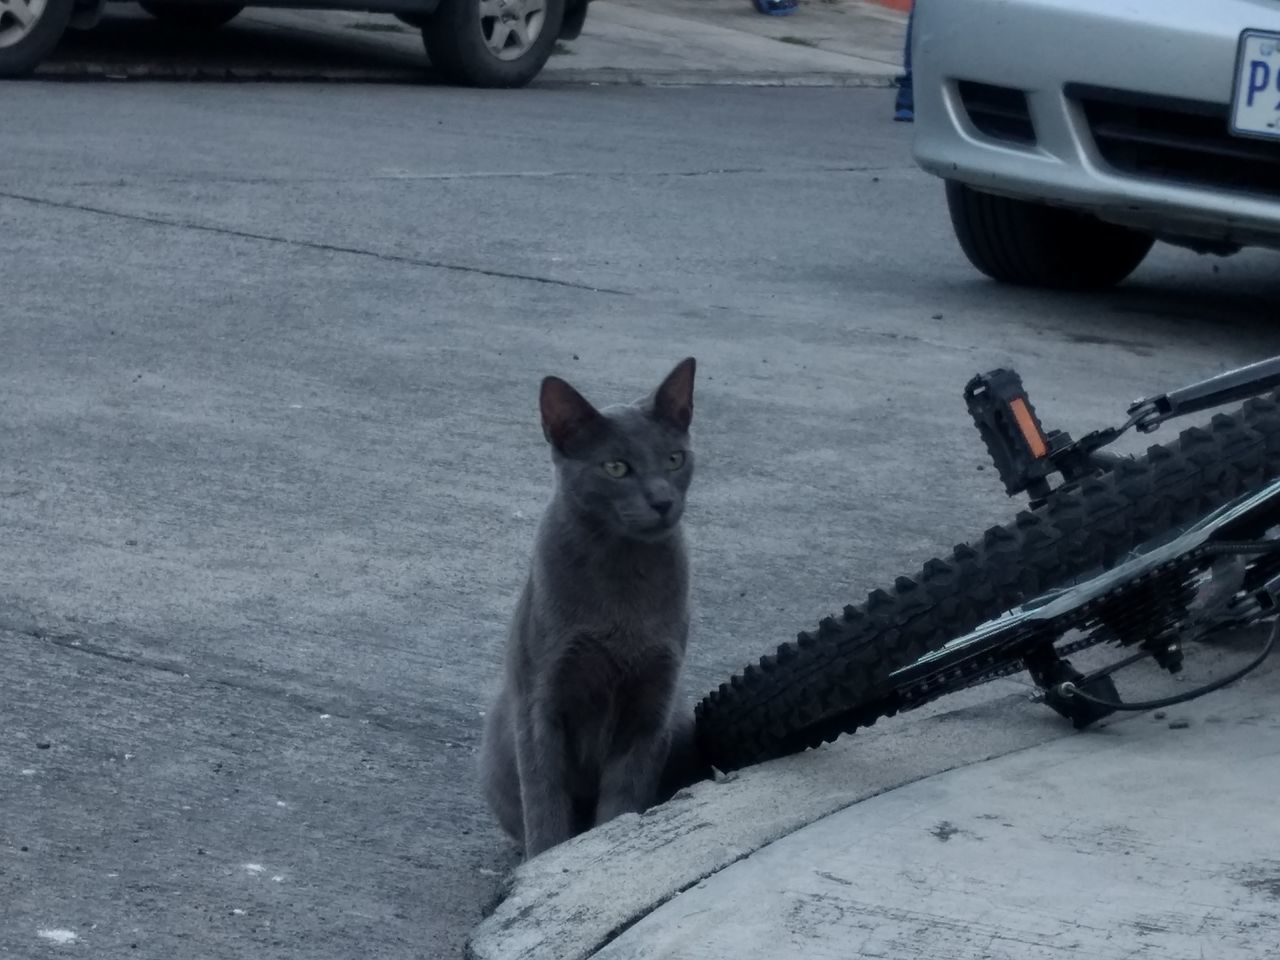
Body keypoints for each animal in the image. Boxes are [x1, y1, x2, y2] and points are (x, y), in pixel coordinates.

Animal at [481, 358, 701, 855]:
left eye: (674, 459)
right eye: (616, 467)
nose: (663, 500)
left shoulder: (651, 707)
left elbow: (622, 799)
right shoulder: (540, 702)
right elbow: (544, 802)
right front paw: (548, 858)